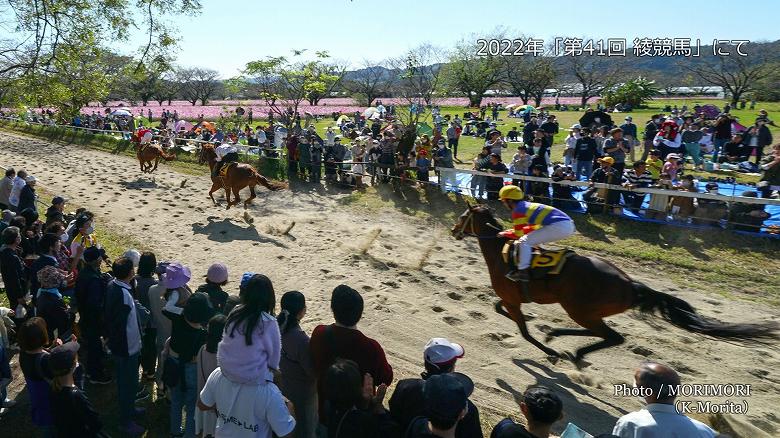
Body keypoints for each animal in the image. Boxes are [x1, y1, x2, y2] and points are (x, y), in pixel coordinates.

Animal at [450, 205, 772, 362]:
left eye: (463, 216)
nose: (454, 231)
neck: (501, 254)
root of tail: (632, 286)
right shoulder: (511, 299)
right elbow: (497, 308)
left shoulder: (513, 299)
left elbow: (524, 331)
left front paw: (549, 353)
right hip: (587, 310)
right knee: (604, 334)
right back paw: (559, 335)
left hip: (580, 308)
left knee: (613, 337)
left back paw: (571, 349)